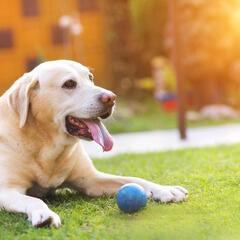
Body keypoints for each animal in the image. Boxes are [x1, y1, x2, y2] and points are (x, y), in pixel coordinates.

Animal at [0, 59, 188, 227]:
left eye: (90, 77)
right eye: (69, 84)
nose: (111, 98)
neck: (48, 144)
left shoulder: (91, 180)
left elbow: (135, 179)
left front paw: (165, 189)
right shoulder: (7, 192)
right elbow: (34, 200)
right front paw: (44, 214)